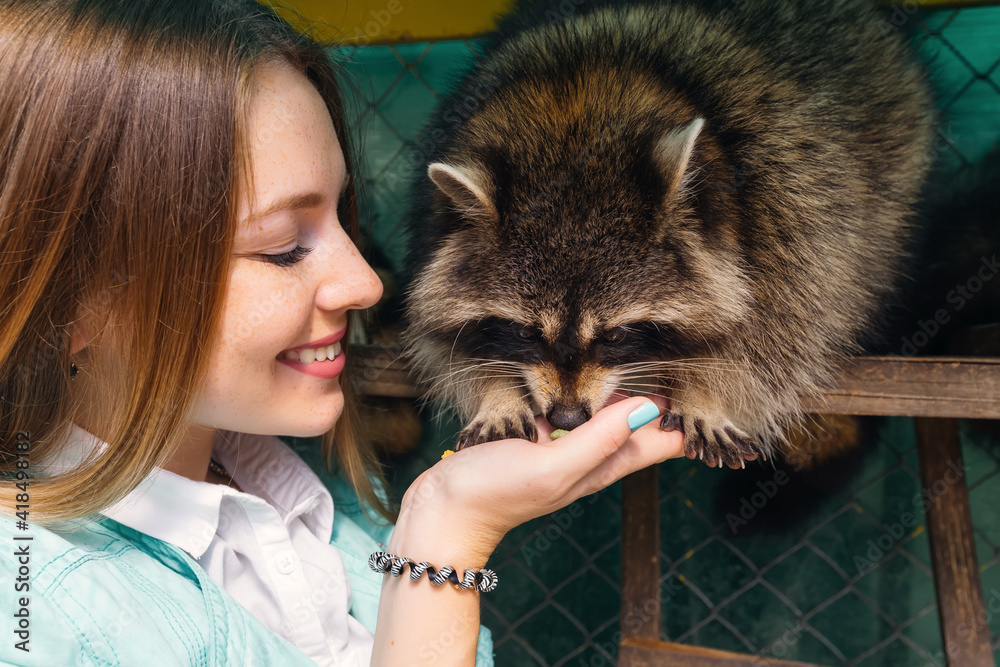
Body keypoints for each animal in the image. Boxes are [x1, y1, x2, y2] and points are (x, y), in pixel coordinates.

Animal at [403, 0, 935, 468]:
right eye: (523, 333)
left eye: (616, 336)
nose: (568, 417)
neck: (574, 102)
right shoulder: (433, 231)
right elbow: (441, 342)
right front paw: (494, 392)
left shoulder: (792, 215)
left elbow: (777, 338)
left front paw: (707, 392)